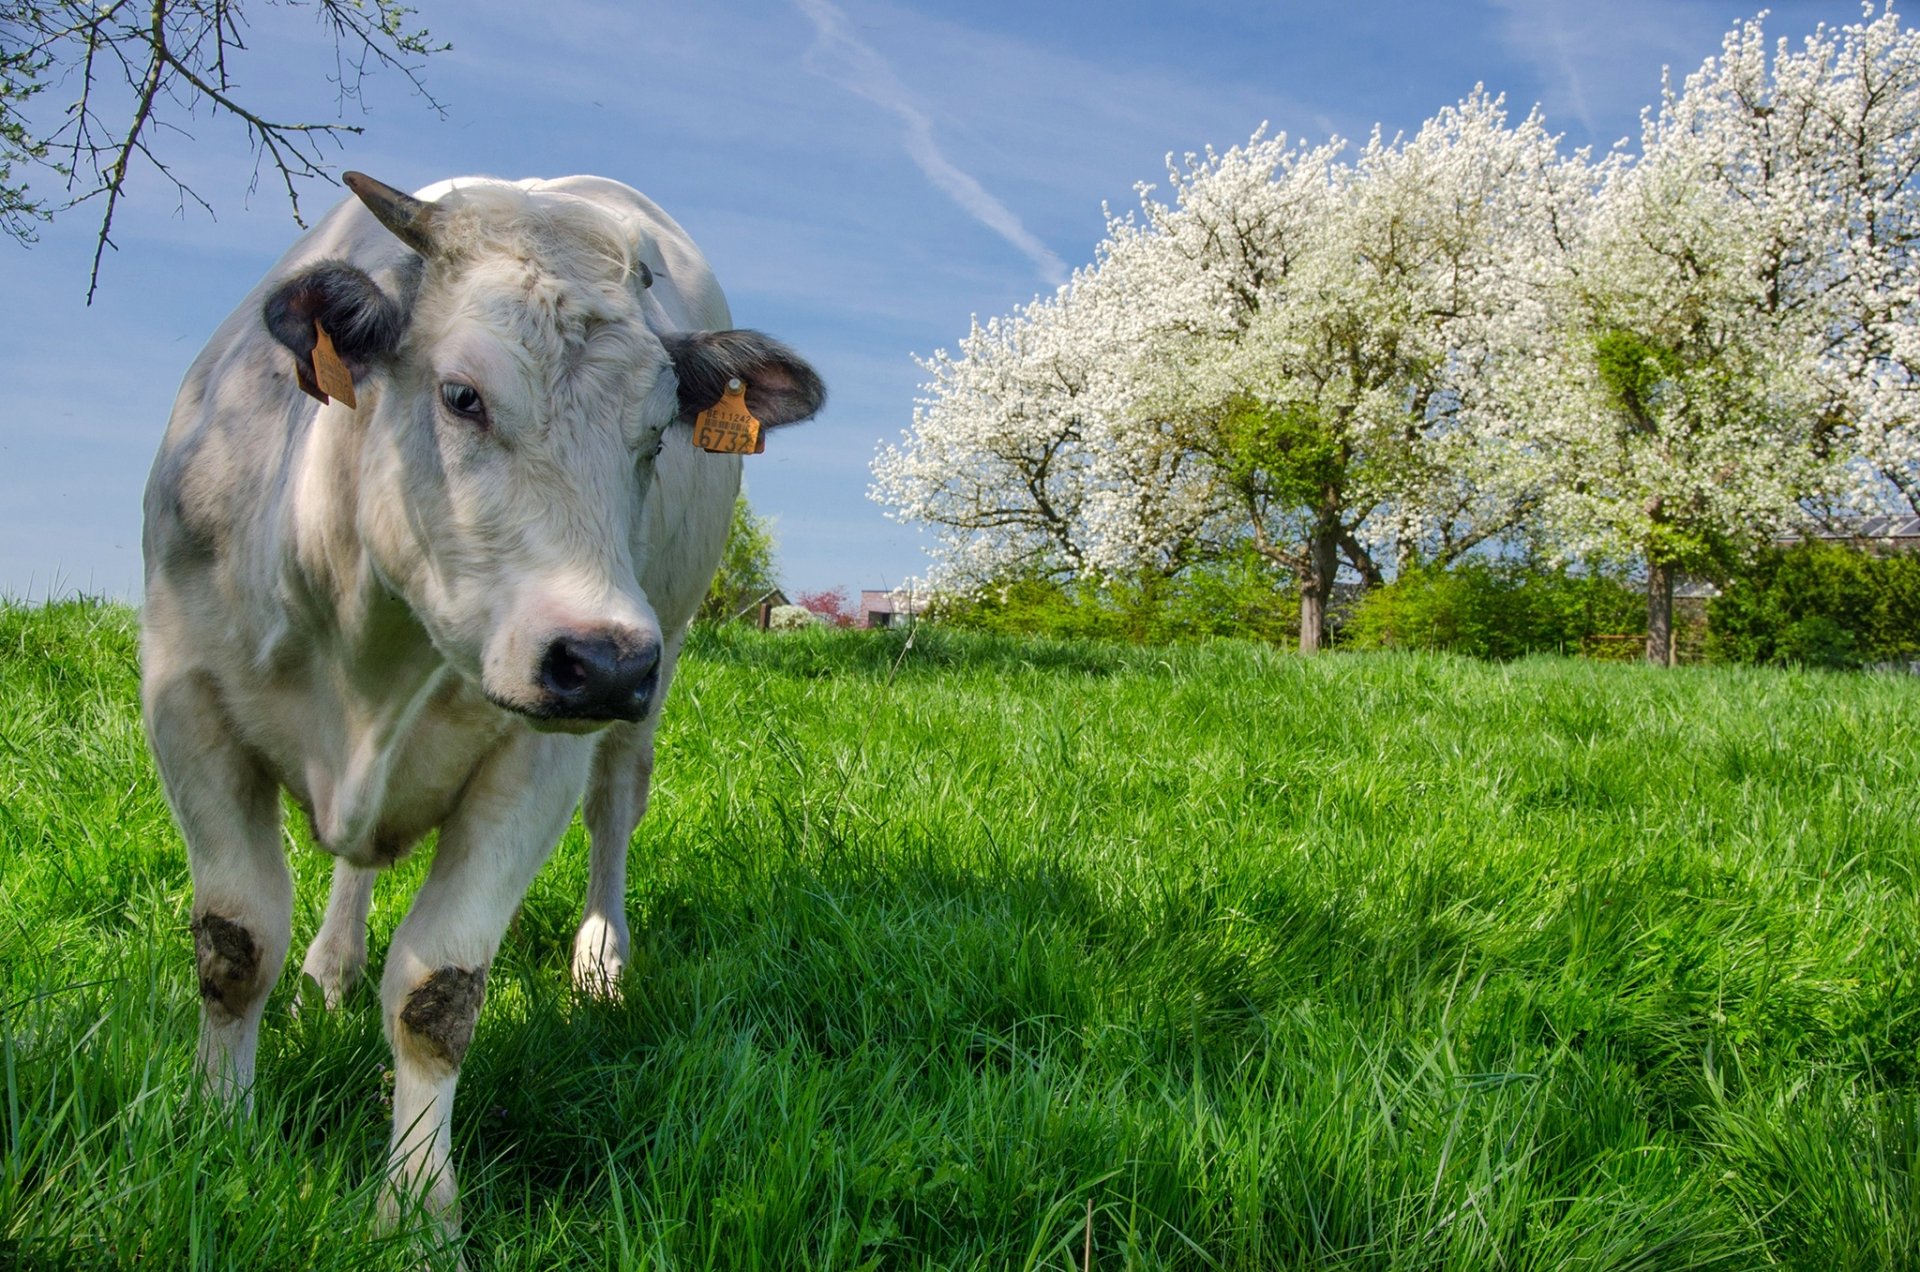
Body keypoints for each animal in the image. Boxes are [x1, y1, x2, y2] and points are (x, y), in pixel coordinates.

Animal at [140, 172, 824, 1239]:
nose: (604, 659)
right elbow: (236, 945)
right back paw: (330, 966)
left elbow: (438, 994)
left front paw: (418, 1208)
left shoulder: (534, 761)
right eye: (462, 396)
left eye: (655, 435)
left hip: (652, 677)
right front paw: (217, 1130)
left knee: (614, 810)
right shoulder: (184, 698)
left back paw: (599, 964)